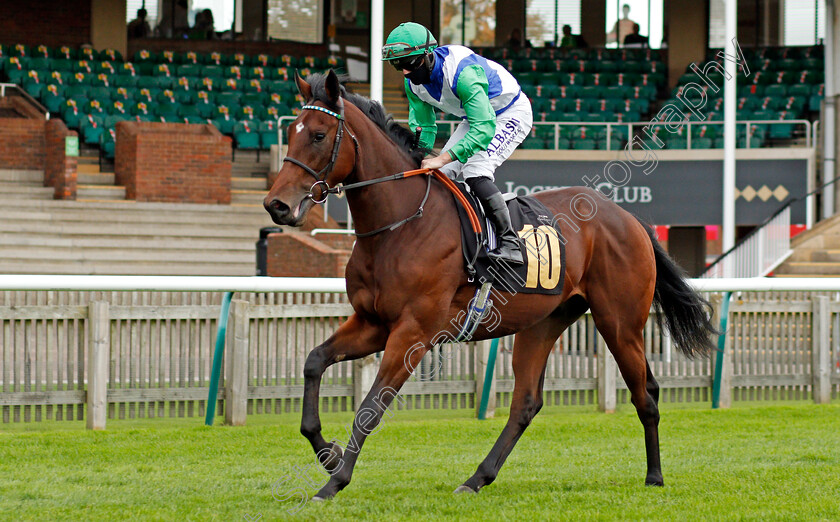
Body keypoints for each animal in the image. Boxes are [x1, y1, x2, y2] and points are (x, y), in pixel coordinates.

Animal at [264, 71, 716, 498]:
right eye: (290, 133)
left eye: (319, 135)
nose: (276, 205)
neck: (400, 224)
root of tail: (629, 218)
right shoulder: (372, 323)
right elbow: (314, 362)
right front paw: (327, 453)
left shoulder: (414, 332)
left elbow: (372, 407)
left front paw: (333, 482)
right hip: (543, 323)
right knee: (526, 403)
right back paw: (477, 478)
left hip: (619, 323)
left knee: (646, 395)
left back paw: (654, 476)